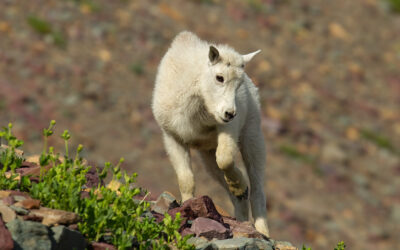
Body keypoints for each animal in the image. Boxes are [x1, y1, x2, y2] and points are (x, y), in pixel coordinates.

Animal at [152, 30, 270, 236]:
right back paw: (241, 214)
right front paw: (187, 206)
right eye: (219, 77)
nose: (230, 113)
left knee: (257, 188)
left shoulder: (228, 127)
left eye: (239, 83)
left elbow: (225, 158)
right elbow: (186, 179)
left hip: (252, 133)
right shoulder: (172, 136)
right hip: (207, 153)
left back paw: (261, 229)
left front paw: (240, 186)